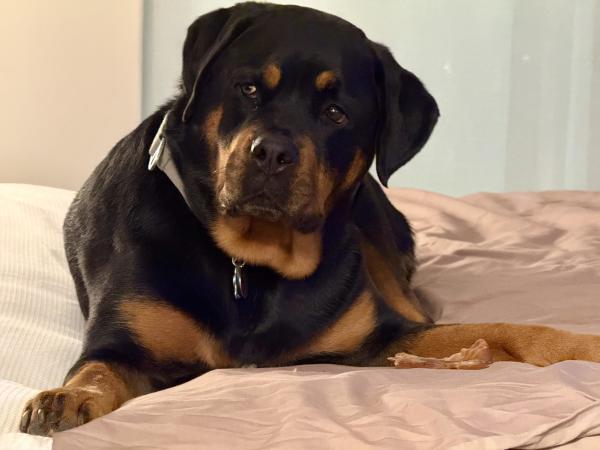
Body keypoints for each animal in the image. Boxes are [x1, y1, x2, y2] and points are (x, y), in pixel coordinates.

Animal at [18, 0, 600, 436]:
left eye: (336, 113)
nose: (272, 153)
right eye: (249, 88)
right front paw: (64, 398)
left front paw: (580, 347)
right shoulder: (124, 343)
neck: (249, 265)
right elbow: (98, 371)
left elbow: (501, 329)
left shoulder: (376, 340)